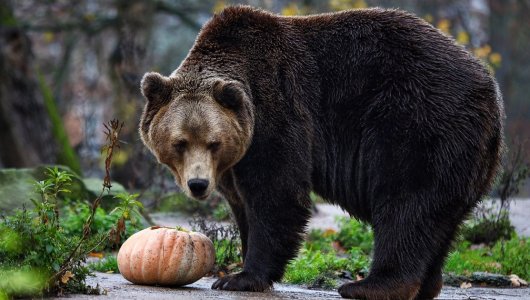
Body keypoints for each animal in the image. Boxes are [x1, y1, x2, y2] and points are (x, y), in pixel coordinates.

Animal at [138, 5, 502, 300]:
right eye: (180, 142)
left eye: (213, 142)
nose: (198, 184)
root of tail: (488, 86)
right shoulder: (233, 160)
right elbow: (241, 203)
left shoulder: (278, 111)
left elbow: (276, 193)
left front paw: (239, 278)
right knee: (439, 218)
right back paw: (426, 285)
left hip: (415, 122)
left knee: (405, 205)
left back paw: (369, 285)